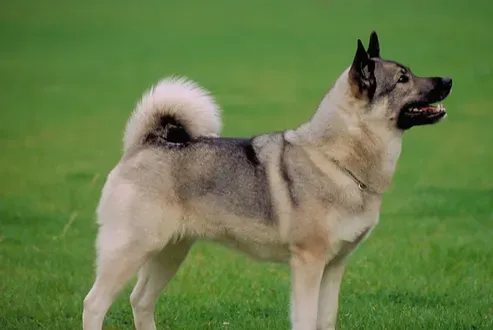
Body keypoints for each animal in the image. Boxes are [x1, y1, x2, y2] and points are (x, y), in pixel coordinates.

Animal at [83, 31, 450, 330]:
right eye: (403, 78)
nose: (447, 79)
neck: (336, 159)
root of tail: (145, 144)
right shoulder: (308, 263)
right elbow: (306, 320)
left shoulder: (334, 267)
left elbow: (326, 320)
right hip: (130, 250)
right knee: (94, 304)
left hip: (169, 252)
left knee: (140, 301)